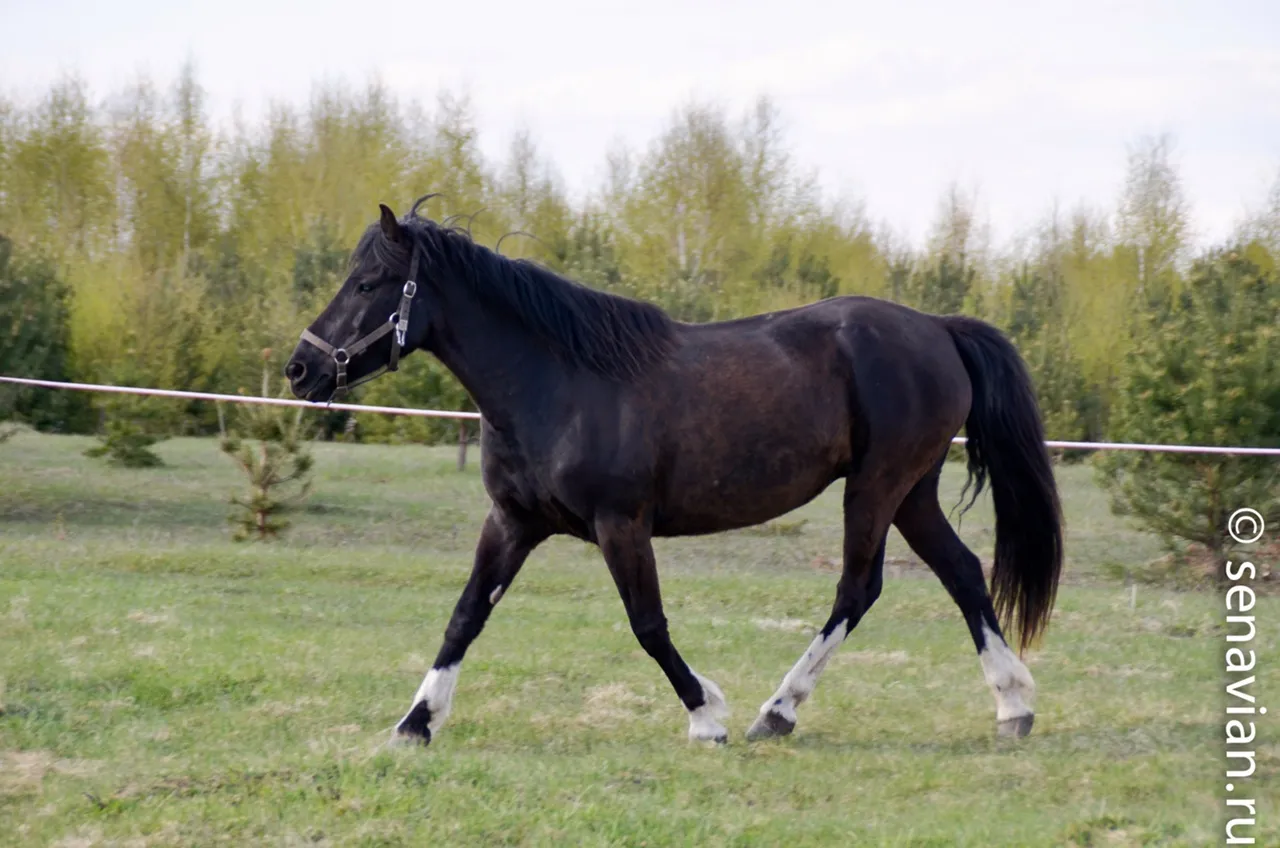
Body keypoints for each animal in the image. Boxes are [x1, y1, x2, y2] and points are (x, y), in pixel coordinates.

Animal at [285, 197, 1063, 746]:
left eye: (370, 282)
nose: (301, 369)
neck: (558, 384)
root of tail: (938, 328)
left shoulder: (621, 524)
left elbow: (648, 624)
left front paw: (706, 716)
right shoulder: (512, 521)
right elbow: (466, 615)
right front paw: (415, 722)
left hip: (876, 487)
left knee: (858, 589)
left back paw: (776, 712)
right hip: (910, 493)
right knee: (962, 573)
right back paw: (1012, 706)